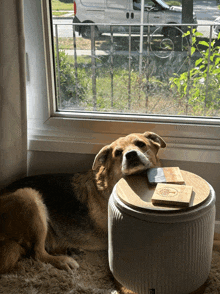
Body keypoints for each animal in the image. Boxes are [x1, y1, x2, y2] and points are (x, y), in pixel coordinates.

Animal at [0, 131, 166, 274]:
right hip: (29, 196)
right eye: (118, 153)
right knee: (37, 254)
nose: (131, 155)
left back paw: (69, 249)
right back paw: (63, 260)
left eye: (140, 144)